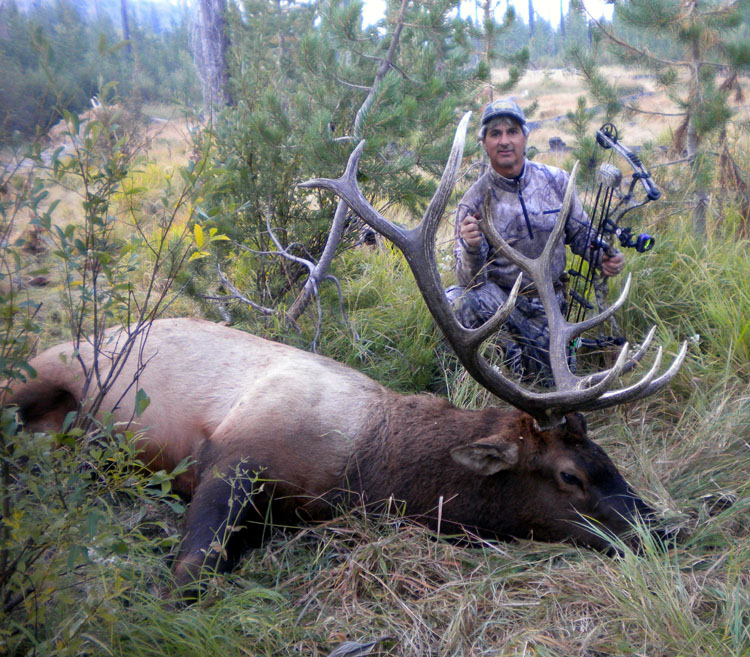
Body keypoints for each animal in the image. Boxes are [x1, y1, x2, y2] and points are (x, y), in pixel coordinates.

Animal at [5, 112, 687, 593]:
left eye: (609, 457)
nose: (663, 529)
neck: (363, 467)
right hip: (38, 373)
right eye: (570, 475)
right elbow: (190, 574)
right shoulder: (231, 453)